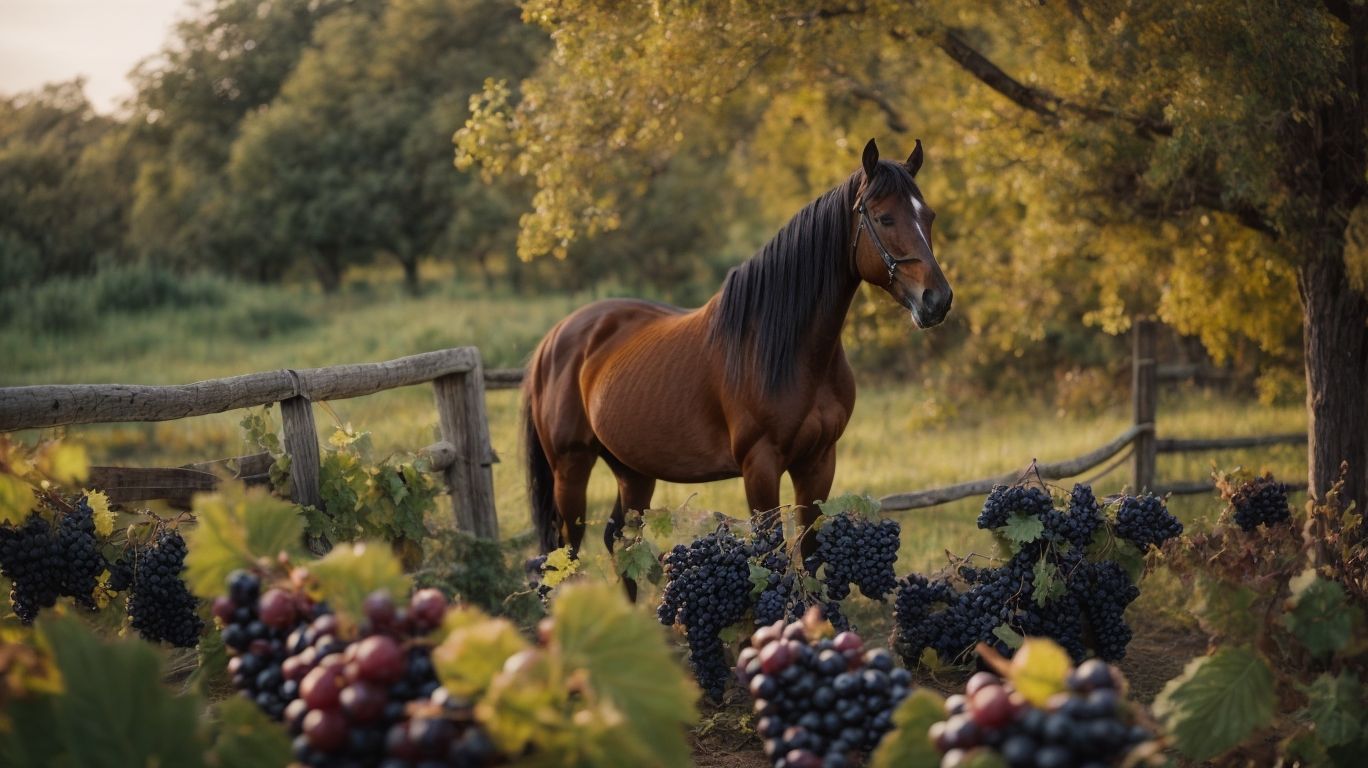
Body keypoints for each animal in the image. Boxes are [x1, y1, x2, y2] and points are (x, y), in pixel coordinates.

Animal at [522, 138, 952, 598]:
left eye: (928, 215)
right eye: (885, 217)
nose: (937, 300)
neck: (785, 348)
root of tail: (556, 338)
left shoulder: (819, 462)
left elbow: (809, 555)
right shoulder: (759, 467)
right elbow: (772, 557)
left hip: (632, 470)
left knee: (622, 543)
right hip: (571, 468)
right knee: (565, 553)